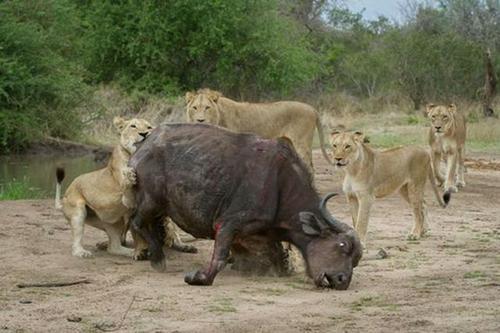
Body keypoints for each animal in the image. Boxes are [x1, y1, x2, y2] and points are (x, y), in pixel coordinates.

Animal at [129, 123, 362, 286]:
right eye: (342, 246)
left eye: (356, 260)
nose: (342, 280)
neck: (280, 184)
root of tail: (144, 146)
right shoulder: (227, 224)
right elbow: (220, 257)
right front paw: (200, 277)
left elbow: (277, 259)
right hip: (151, 200)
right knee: (137, 221)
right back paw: (158, 258)